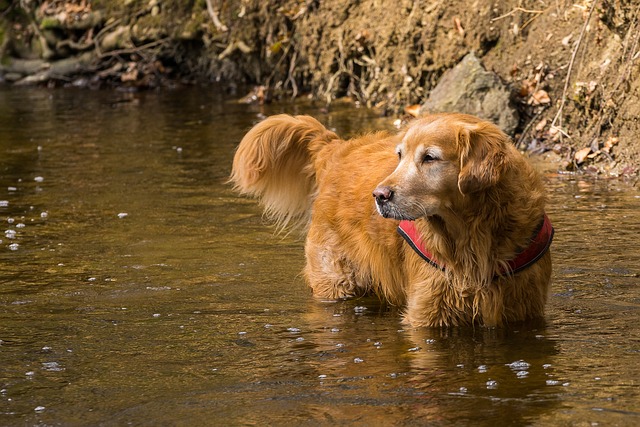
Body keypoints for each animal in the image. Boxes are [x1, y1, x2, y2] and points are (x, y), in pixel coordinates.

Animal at [230, 113, 556, 328]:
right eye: (400, 156)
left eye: (429, 158)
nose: (379, 195)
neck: (471, 231)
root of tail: (336, 148)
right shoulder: (427, 311)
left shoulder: (523, 307)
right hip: (335, 280)